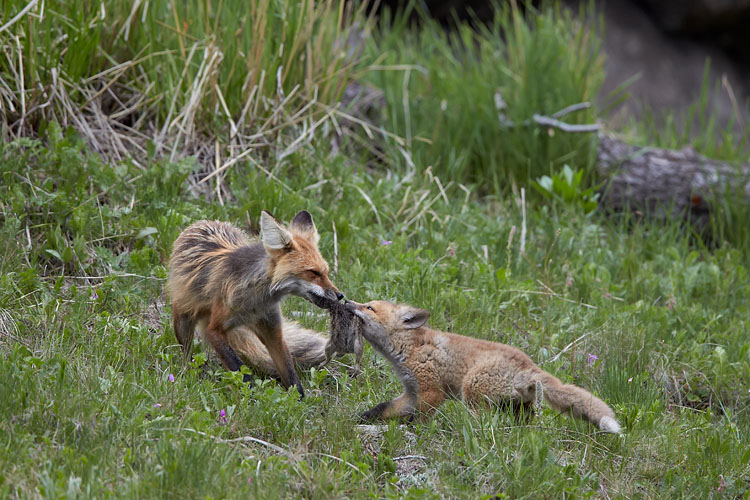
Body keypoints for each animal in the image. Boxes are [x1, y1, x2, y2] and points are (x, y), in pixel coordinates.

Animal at [167, 210, 343, 397]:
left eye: (326, 272)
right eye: (314, 272)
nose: (340, 295)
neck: (255, 303)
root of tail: (198, 224)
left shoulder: (272, 330)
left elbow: (290, 372)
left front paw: (299, 399)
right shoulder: (215, 329)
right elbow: (238, 368)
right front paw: (249, 395)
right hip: (183, 322)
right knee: (187, 354)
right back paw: (189, 372)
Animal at [345, 300, 621, 434]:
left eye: (368, 307)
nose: (345, 300)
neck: (411, 348)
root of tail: (529, 365)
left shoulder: (431, 391)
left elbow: (418, 420)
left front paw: (411, 432)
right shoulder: (412, 392)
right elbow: (384, 409)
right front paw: (360, 418)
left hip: (472, 392)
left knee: (482, 425)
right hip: (516, 408)